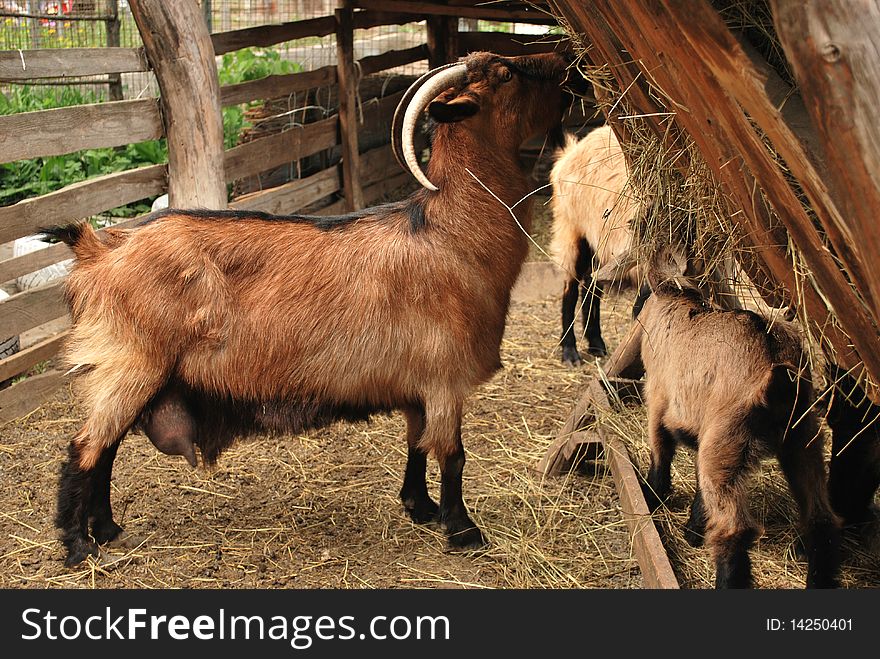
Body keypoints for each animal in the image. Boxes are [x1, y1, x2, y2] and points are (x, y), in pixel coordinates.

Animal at [49, 50, 576, 568]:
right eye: (506, 72)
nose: (565, 61)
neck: (450, 231)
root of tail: (98, 250)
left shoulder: (417, 383)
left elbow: (416, 443)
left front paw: (419, 507)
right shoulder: (446, 376)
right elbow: (452, 454)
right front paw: (464, 531)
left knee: (107, 448)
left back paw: (107, 530)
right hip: (130, 364)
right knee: (86, 448)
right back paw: (79, 547)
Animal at [632, 249, 840, 588]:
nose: (635, 307)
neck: (679, 302)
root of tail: (778, 372)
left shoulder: (658, 399)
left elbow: (660, 453)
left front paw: (652, 498)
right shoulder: (703, 430)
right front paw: (693, 529)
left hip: (729, 436)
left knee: (734, 529)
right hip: (801, 438)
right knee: (821, 518)